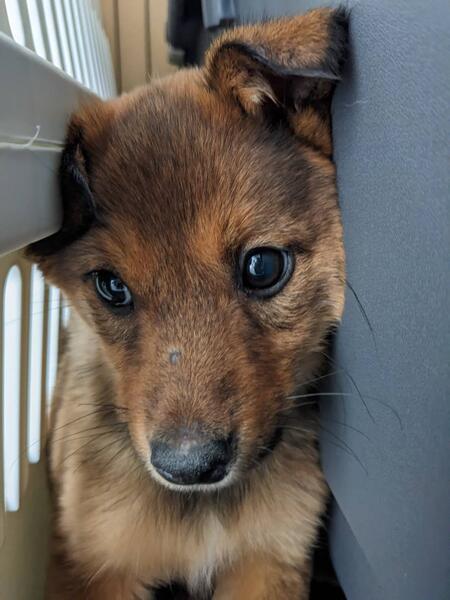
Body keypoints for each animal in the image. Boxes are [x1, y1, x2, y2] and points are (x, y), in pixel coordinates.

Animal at [28, 7, 347, 599]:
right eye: (111, 287)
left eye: (263, 267)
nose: (190, 468)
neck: (204, 511)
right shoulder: (92, 563)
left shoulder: (272, 558)